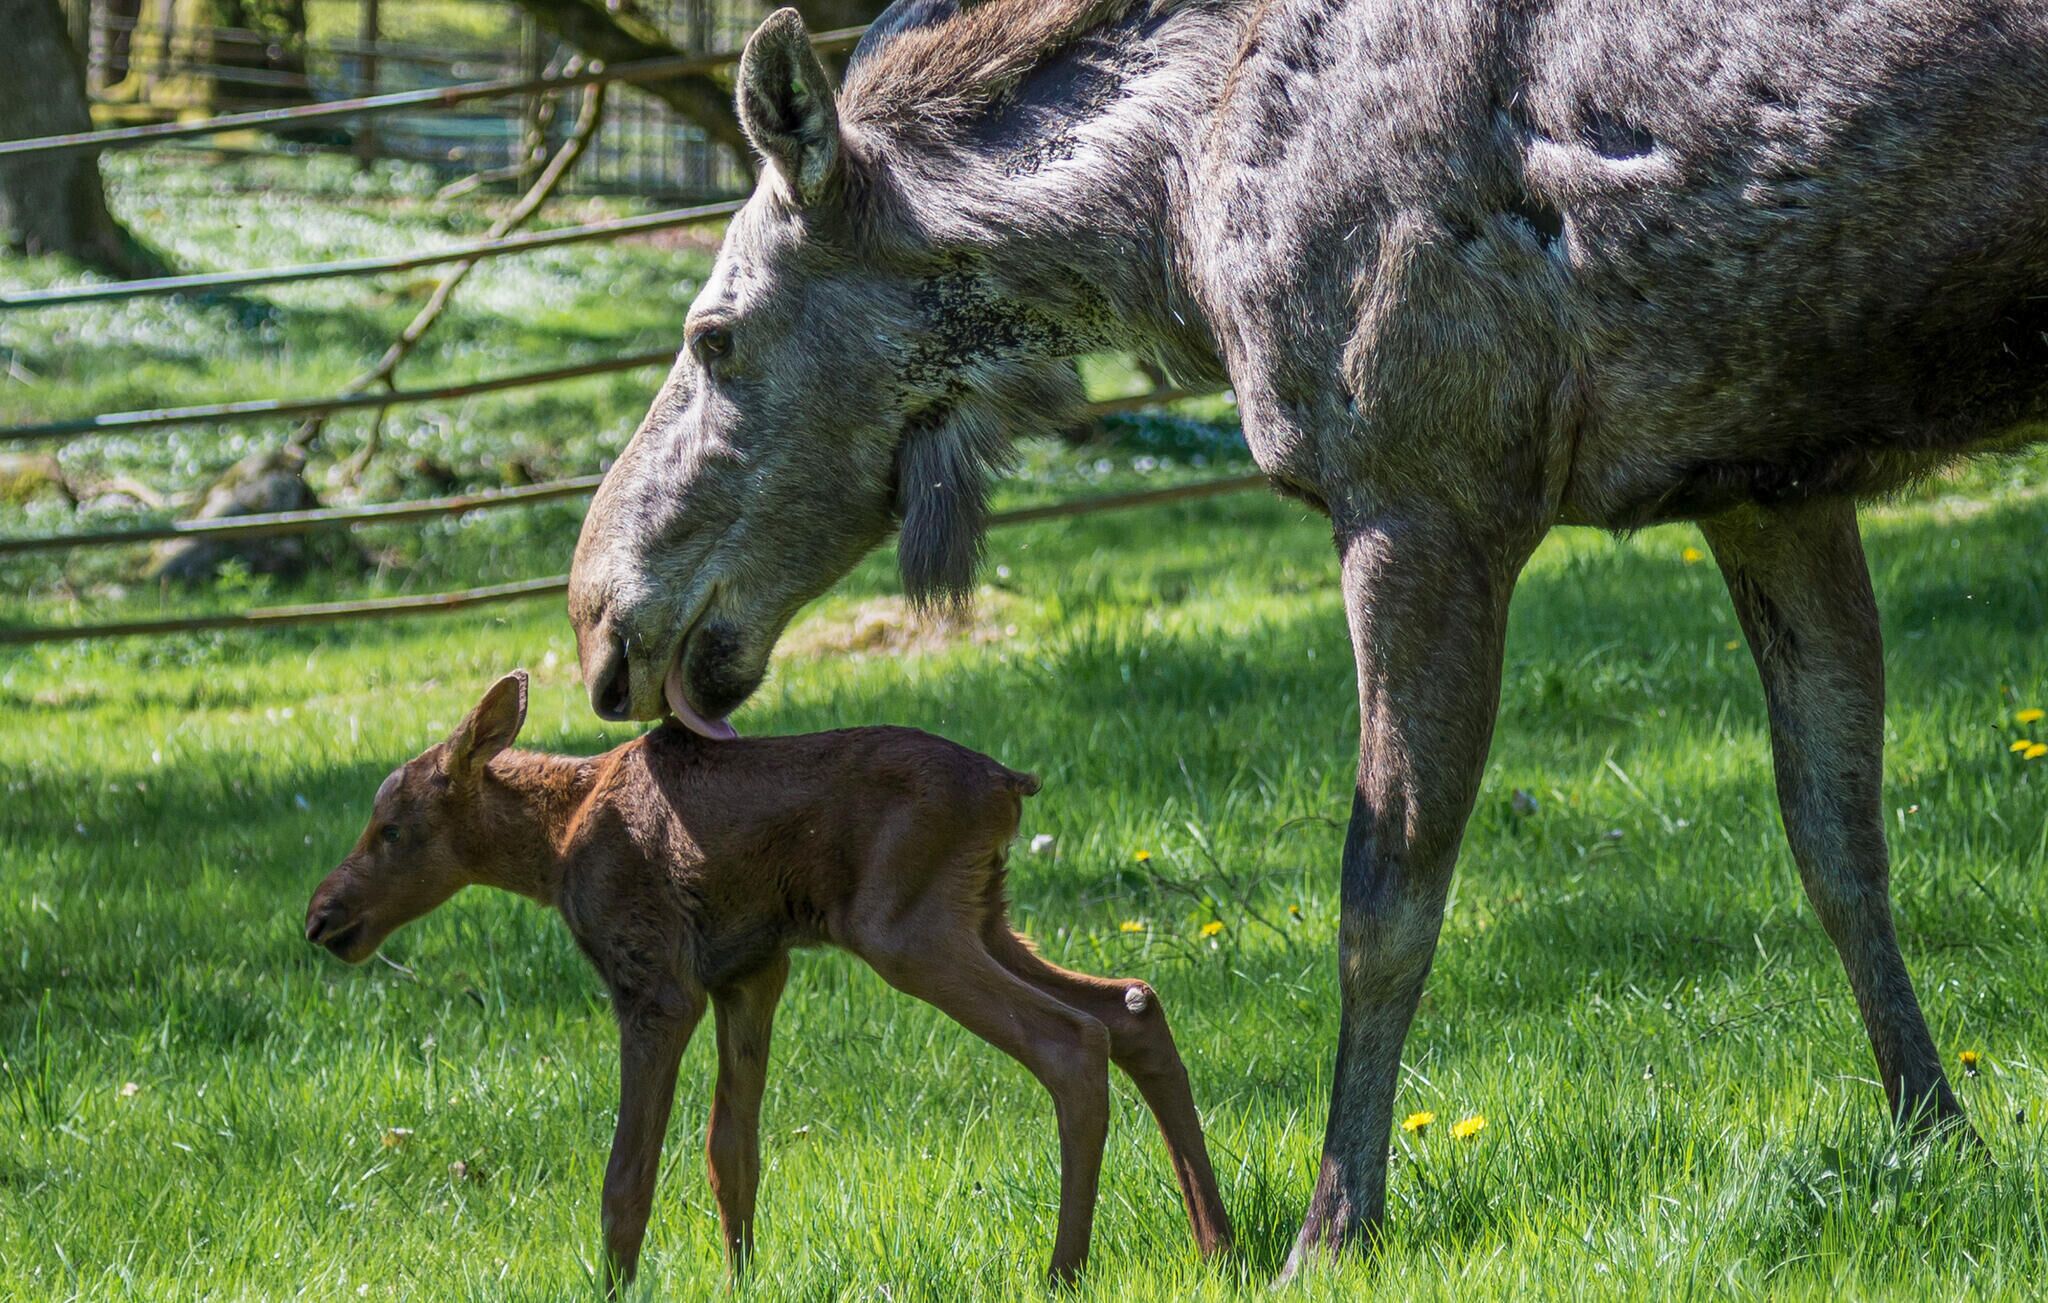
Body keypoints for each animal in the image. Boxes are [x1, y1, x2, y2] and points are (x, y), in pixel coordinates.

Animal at [303, 671, 1233, 1291]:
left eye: (391, 829)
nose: (320, 914)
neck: (553, 847)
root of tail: (1012, 786)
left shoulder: (655, 979)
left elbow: (626, 1176)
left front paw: (616, 1284)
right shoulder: (751, 970)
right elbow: (732, 1153)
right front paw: (740, 1277)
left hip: (907, 928)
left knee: (1072, 1039)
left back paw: (1063, 1268)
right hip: (982, 914)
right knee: (1132, 1004)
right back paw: (1215, 1242)